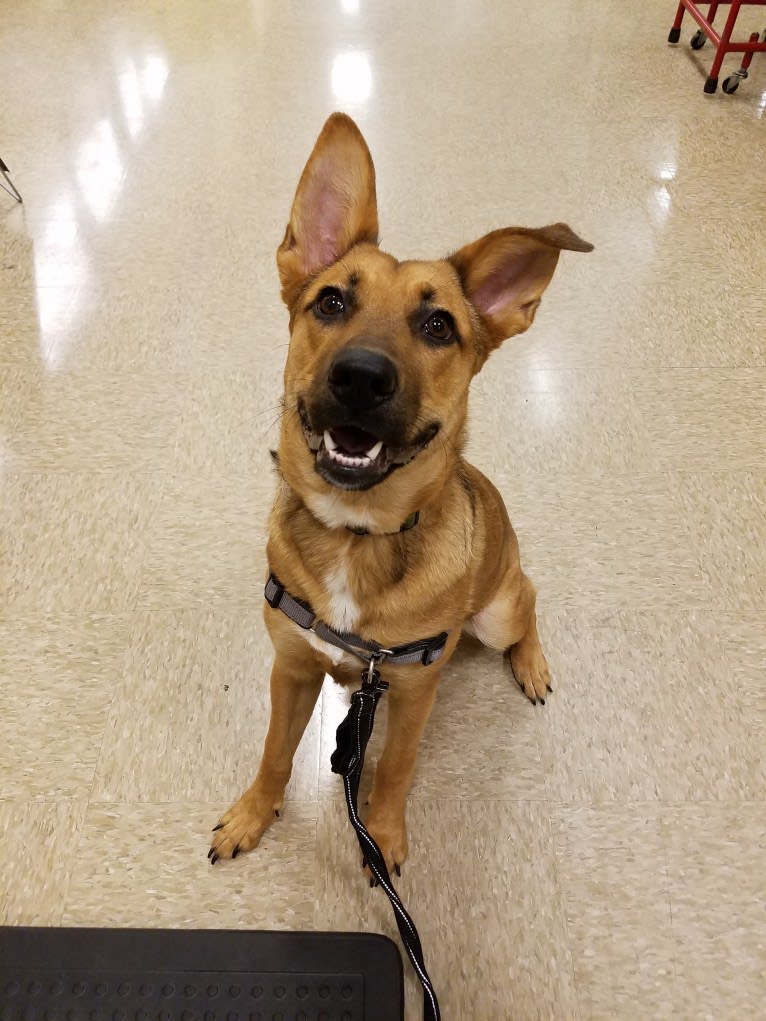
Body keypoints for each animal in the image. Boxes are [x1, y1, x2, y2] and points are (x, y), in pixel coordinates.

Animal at [210, 115, 592, 873]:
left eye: (438, 325)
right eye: (331, 301)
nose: (361, 376)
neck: (356, 535)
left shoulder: (415, 691)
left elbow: (394, 766)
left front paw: (381, 835)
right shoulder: (291, 667)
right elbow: (274, 752)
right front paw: (252, 814)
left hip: (496, 611)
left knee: (530, 600)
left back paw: (531, 662)